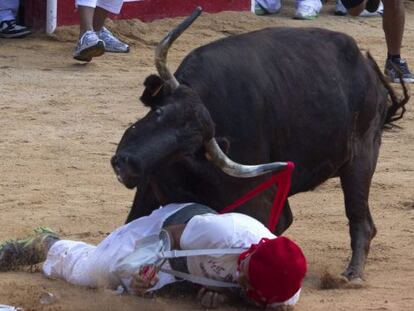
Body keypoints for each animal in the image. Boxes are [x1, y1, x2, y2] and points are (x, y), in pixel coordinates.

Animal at [110, 15, 408, 282]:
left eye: (188, 149)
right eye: (159, 112)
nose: (127, 165)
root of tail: (369, 70)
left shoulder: (261, 201)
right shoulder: (148, 188)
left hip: (361, 159)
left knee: (360, 218)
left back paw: (352, 274)